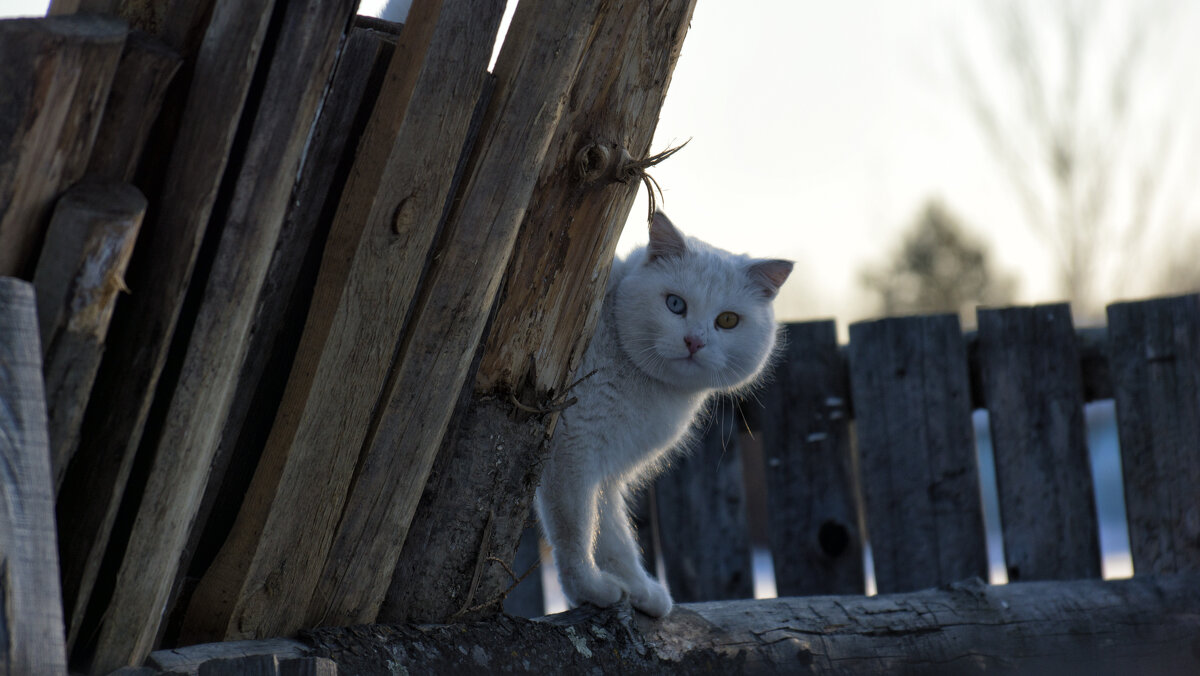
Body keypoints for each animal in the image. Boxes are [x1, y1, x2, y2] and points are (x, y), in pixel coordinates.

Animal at [540, 211, 792, 619]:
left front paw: (639, 591)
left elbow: (612, 534)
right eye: (675, 304)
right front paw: (589, 589)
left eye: (727, 321)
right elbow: (574, 526)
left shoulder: (605, 473)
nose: (694, 341)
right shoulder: (571, 452)